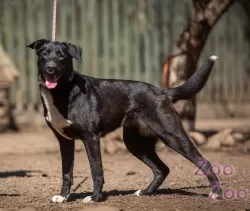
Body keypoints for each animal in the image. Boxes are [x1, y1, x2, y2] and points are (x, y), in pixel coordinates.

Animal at [27, 39, 223, 203]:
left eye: (62, 55)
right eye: (44, 53)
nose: (51, 68)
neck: (63, 90)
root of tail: (162, 92)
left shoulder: (91, 138)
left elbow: (96, 170)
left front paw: (95, 198)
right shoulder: (64, 141)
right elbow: (66, 172)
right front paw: (63, 196)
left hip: (172, 135)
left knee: (203, 161)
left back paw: (217, 193)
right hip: (135, 143)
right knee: (162, 169)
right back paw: (145, 192)